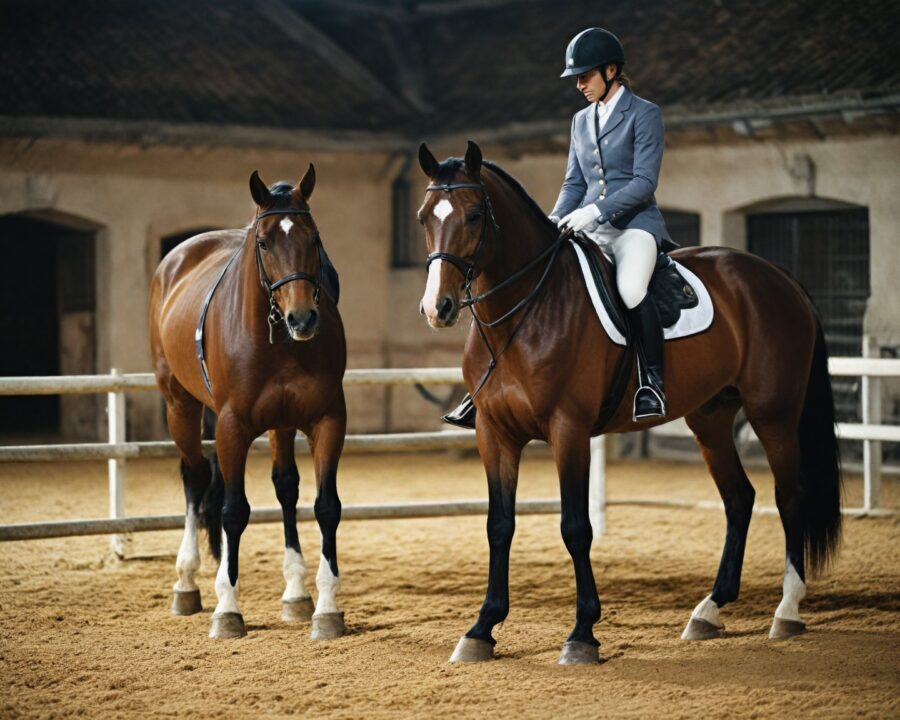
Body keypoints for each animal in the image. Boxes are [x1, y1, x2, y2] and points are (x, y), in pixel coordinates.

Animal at [148, 166, 348, 640]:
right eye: (264, 242)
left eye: (314, 237)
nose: (302, 319)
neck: (277, 343)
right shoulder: (231, 425)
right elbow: (233, 511)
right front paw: (227, 610)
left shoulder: (327, 419)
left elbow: (325, 507)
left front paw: (327, 609)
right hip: (180, 404)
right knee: (196, 479)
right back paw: (187, 583)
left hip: (280, 423)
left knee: (285, 486)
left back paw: (295, 594)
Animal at [416, 141, 842, 665]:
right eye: (423, 218)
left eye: (475, 215)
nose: (438, 308)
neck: (526, 311)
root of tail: (779, 276)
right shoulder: (494, 434)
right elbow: (499, 524)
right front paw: (482, 629)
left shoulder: (569, 429)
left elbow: (575, 527)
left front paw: (582, 633)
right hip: (710, 417)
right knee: (739, 498)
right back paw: (709, 610)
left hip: (774, 414)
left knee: (789, 496)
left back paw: (787, 610)